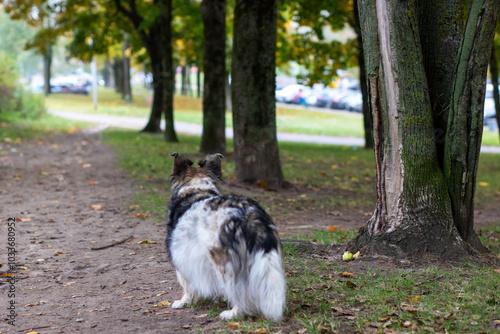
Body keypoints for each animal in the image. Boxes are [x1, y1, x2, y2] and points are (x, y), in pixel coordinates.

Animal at [167, 153, 288, 320]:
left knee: (238, 290)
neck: (196, 188)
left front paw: (184, 301)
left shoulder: (182, 255)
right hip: (258, 258)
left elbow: (187, 283)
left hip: (224, 262)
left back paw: (234, 313)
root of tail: (248, 213)